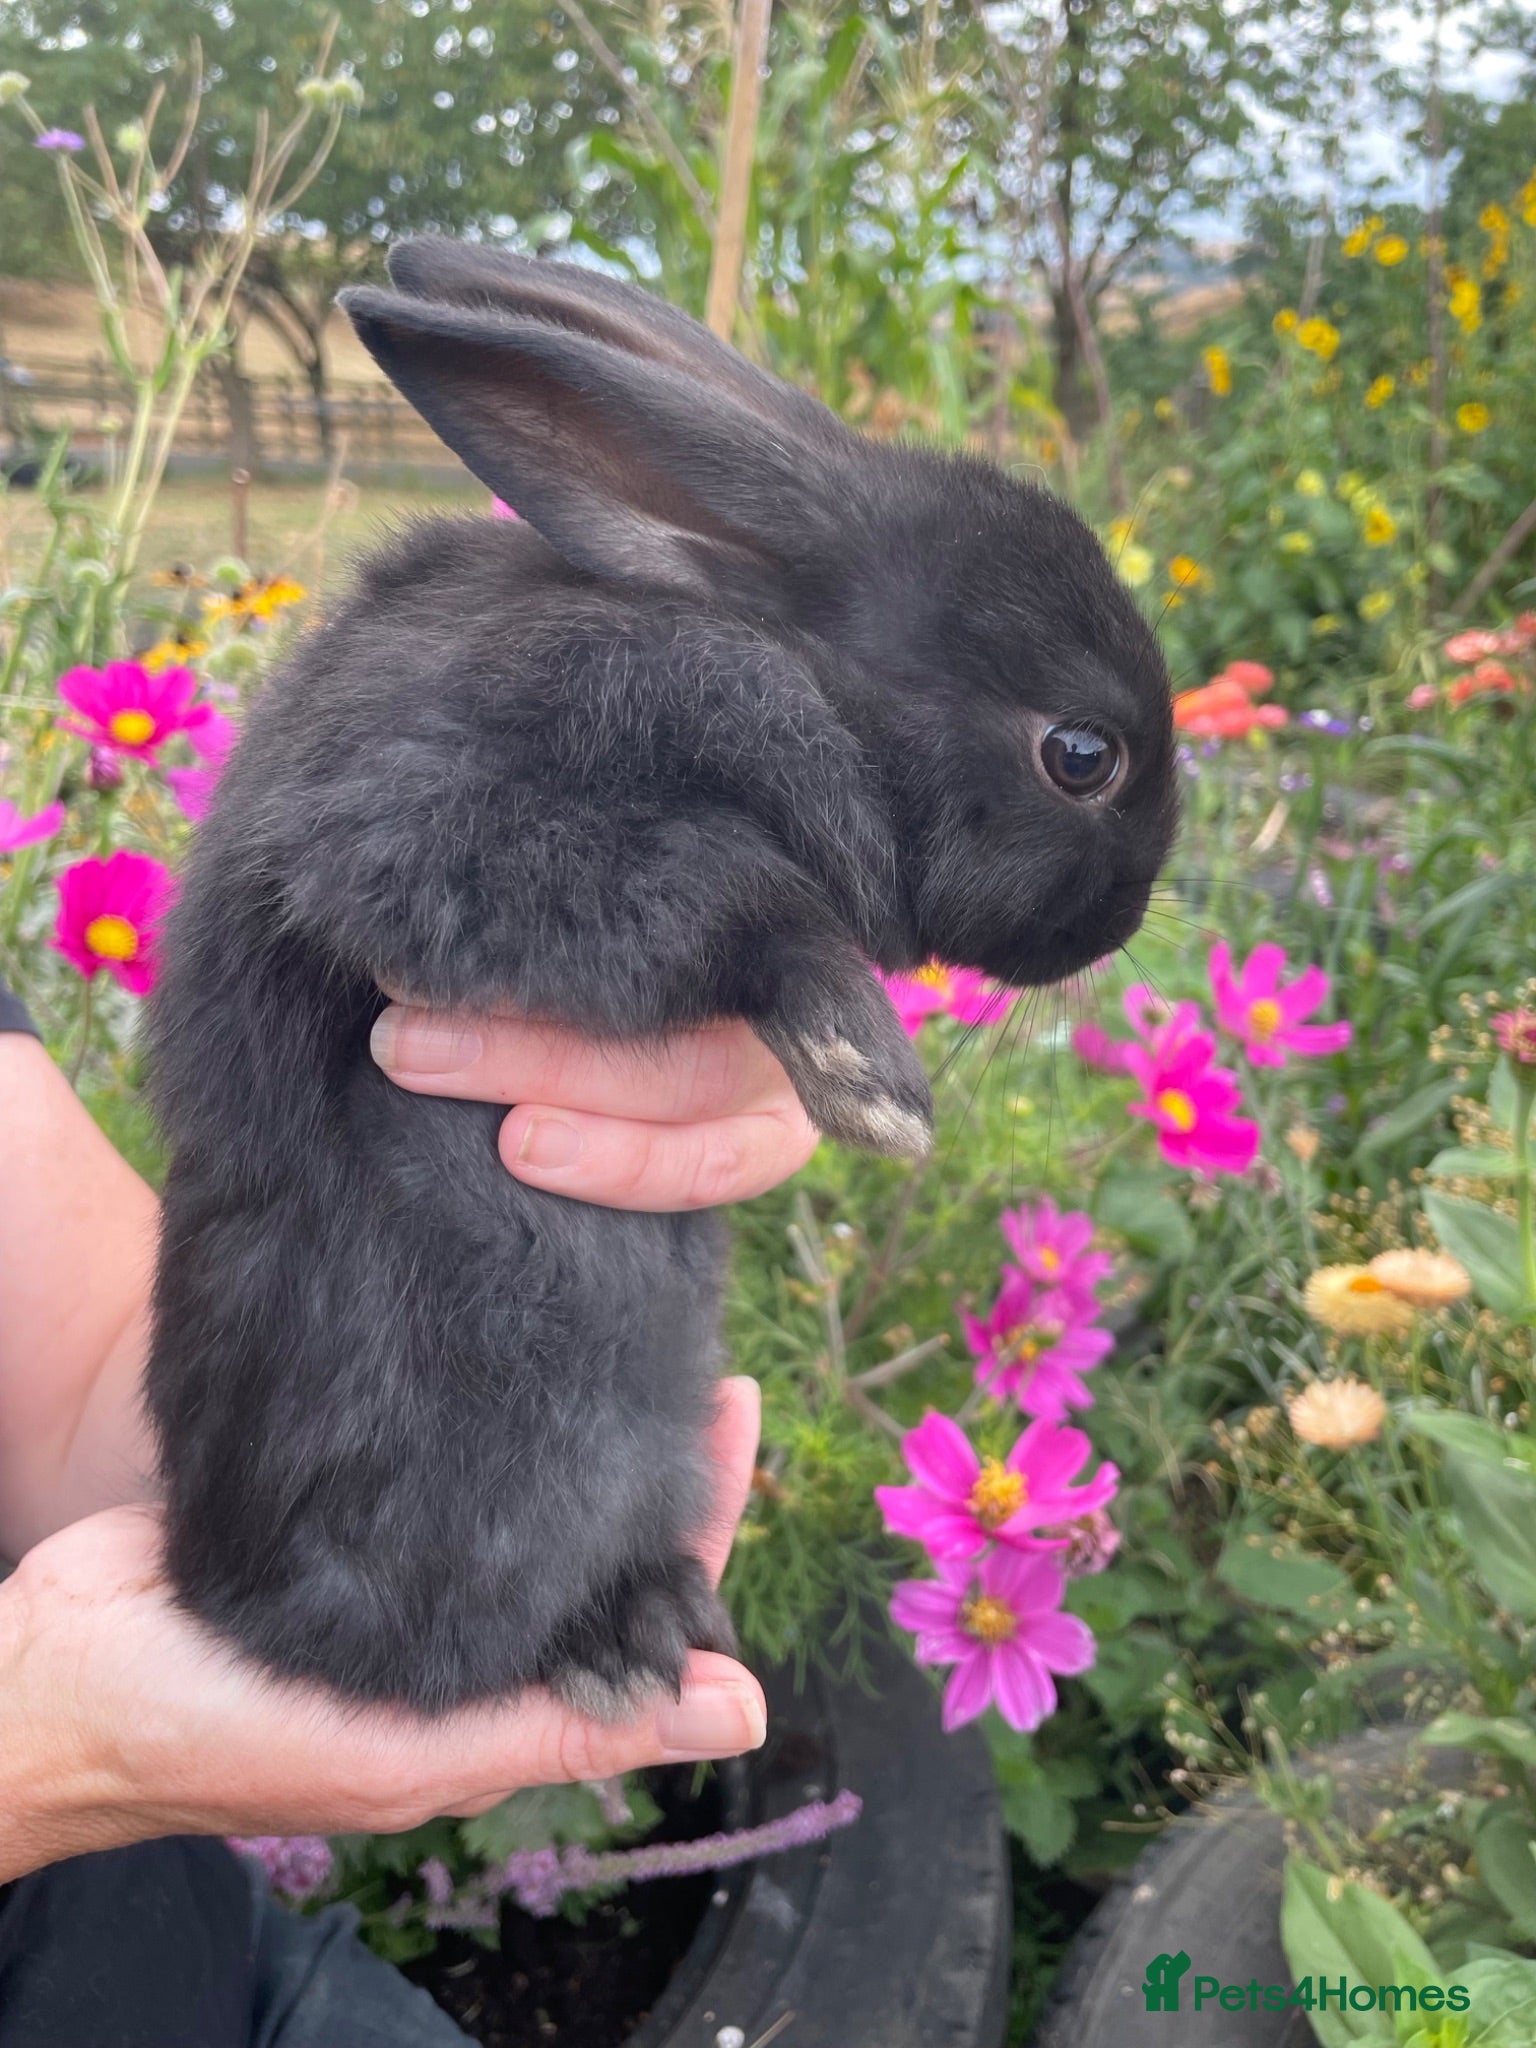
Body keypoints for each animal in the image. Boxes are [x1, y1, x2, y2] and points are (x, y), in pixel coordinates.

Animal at [144, 238, 1178, 1719]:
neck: (798, 672)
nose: (1122, 916)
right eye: (1082, 755)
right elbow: (744, 901)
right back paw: (614, 1647)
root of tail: (214, 1596)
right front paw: (875, 1081)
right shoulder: (448, 822)